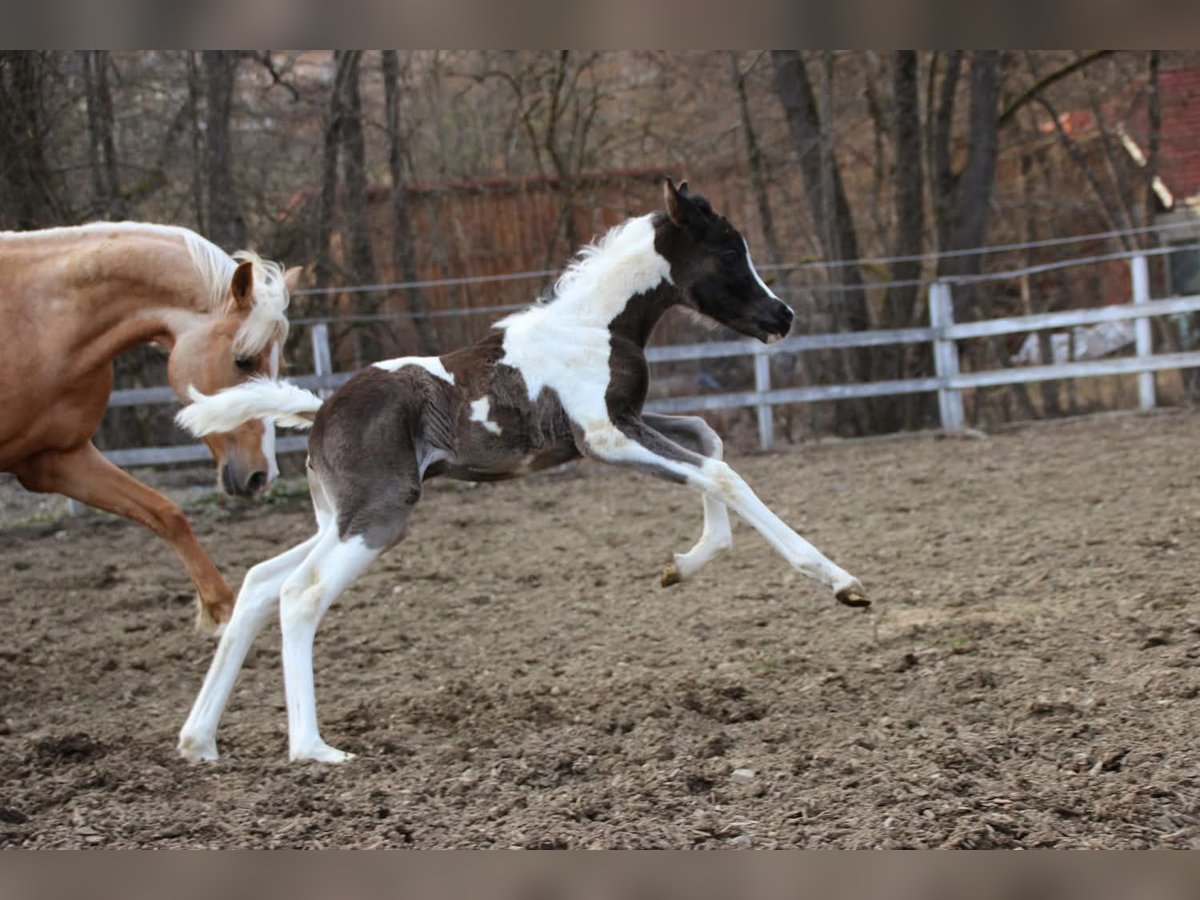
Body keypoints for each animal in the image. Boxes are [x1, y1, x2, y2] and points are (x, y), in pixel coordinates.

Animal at [0, 222, 299, 631]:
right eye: (243, 360)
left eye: (279, 368)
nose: (262, 476)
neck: (37, 323)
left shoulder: (54, 459)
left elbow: (166, 513)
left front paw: (222, 611)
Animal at [176, 179, 868, 763]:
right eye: (728, 252)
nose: (783, 318)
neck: (593, 327)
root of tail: (318, 411)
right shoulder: (604, 438)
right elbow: (721, 473)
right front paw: (842, 583)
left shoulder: (627, 422)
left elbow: (708, 439)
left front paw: (682, 565)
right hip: (378, 517)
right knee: (299, 594)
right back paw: (313, 749)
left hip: (337, 518)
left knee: (260, 583)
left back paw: (199, 741)